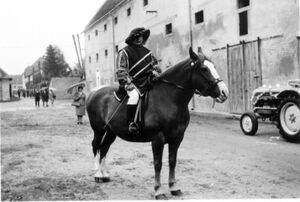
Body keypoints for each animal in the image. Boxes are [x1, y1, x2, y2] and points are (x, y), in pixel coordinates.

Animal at [85, 47, 229, 199]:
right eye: (204, 68)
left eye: (214, 66)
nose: (224, 92)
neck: (169, 98)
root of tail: (94, 92)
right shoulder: (157, 139)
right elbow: (158, 164)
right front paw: (158, 190)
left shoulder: (177, 138)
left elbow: (172, 161)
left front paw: (173, 187)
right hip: (99, 130)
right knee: (96, 146)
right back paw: (98, 174)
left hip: (111, 132)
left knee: (104, 148)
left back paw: (104, 174)